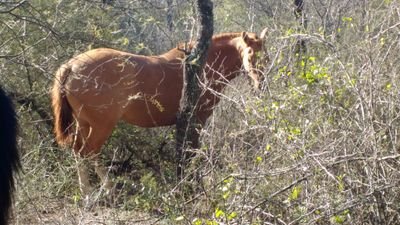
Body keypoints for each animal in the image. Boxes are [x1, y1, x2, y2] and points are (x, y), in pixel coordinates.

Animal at [51, 29, 268, 195]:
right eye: (250, 53)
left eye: (266, 54)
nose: (260, 86)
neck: (201, 66)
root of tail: (71, 66)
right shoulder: (196, 120)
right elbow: (191, 152)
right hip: (101, 125)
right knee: (89, 152)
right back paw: (104, 190)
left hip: (84, 123)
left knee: (79, 151)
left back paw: (87, 191)